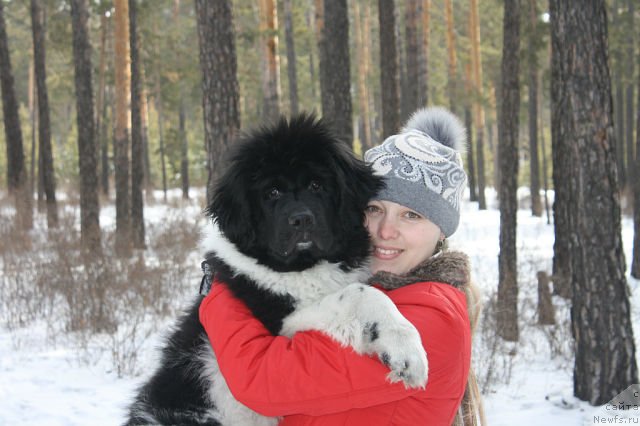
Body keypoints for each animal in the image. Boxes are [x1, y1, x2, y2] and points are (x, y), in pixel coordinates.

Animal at [125, 115, 428, 424]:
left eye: (317, 185)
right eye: (272, 192)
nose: (301, 220)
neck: (300, 267)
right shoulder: (281, 320)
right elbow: (360, 294)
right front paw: (406, 349)